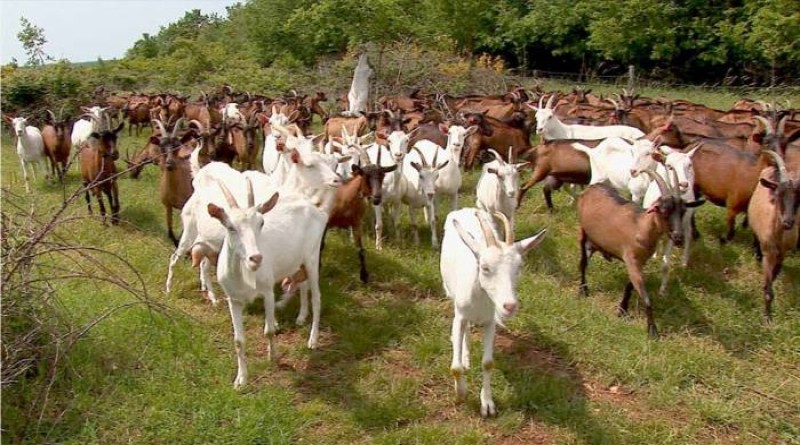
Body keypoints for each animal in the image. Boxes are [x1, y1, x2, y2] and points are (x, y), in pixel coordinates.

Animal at [440, 208, 548, 416]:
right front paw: (461, 393)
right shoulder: (460, 315)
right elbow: (455, 367)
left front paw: (487, 404)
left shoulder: (490, 322)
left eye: (519, 267)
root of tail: (464, 210)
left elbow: (488, 363)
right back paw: (465, 358)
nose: (509, 306)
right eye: (485, 267)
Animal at [580, 170, 704, 336]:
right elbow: (645, 296)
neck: (641, 227)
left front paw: (622, 310)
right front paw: (652, 330)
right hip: (583, 231)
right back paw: (583, 290)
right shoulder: (631, 259)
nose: (678, 237)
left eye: (683, 211)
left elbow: (630, 286)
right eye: (663, 210)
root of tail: (592, 188)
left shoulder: (640, 262)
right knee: (583, 263)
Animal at [748, 152, 796, 320]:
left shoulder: (782, 253)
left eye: (799, 198)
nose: (788, 222)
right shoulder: (768, 254)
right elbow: (768, 290)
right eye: (779, 194)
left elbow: (775, 275)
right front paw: (767, 318)